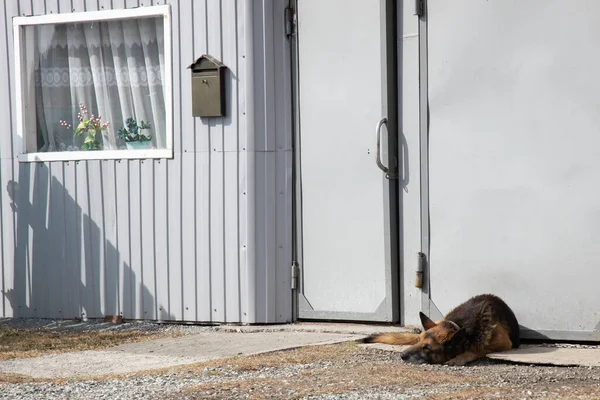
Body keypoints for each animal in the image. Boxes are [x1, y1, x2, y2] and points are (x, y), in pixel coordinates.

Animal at [364, 294, 516, 366]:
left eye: (427, 348)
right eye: (418, 342)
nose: (402, 355)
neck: (458, 325)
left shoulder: (503, 343)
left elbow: (477, 349)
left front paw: (459, 358)